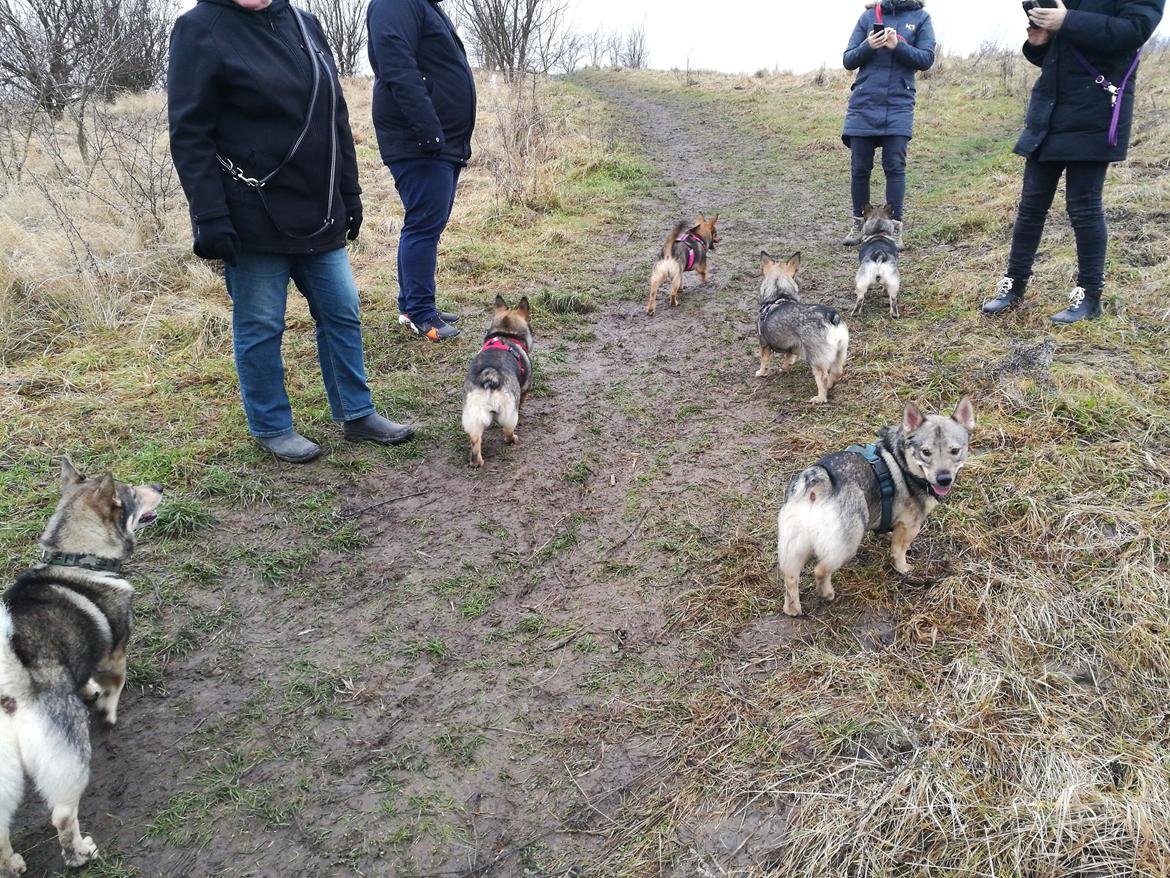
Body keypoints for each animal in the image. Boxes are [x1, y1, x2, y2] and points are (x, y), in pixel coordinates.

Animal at [0, 463, 162, 875]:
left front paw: (88, 689)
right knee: (61, 814)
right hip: (70, 756)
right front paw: (105, 708)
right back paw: (79, 854)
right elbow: (115, 684)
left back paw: (12, 864)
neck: (76, 557)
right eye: (131, 493)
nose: (158, 485)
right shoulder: (115, 652)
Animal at [460, 296, 535, 470]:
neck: (506, 334)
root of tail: (490, 376)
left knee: (475, 442)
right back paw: (513, 439)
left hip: (473, 417)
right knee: (507, 432)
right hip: (509, 413)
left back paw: (477, 462)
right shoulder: (524, 388)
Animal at [758, 252, 851, 407]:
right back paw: (830, 385)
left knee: (823, 377)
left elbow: (764, 361)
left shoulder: (764, 344)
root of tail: (830, 317)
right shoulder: (791, 348)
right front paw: (784, 368)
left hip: (816, 360)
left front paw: (761, 373)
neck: (779, 296)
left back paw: (820, 397)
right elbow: (788, 359)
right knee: (837, 372)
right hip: (840, 352)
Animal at [776, 400, 978, 613]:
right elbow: (899, 552)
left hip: (793, 549)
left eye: (955, 451)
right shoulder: (910, 526)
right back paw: (827, 593)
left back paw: (792, 608)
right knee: (821, 570)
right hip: (846, 545)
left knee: (790, 578)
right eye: (926, 452)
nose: (944, 478)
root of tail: (817, 481)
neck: (902, 458)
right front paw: (903, 569)